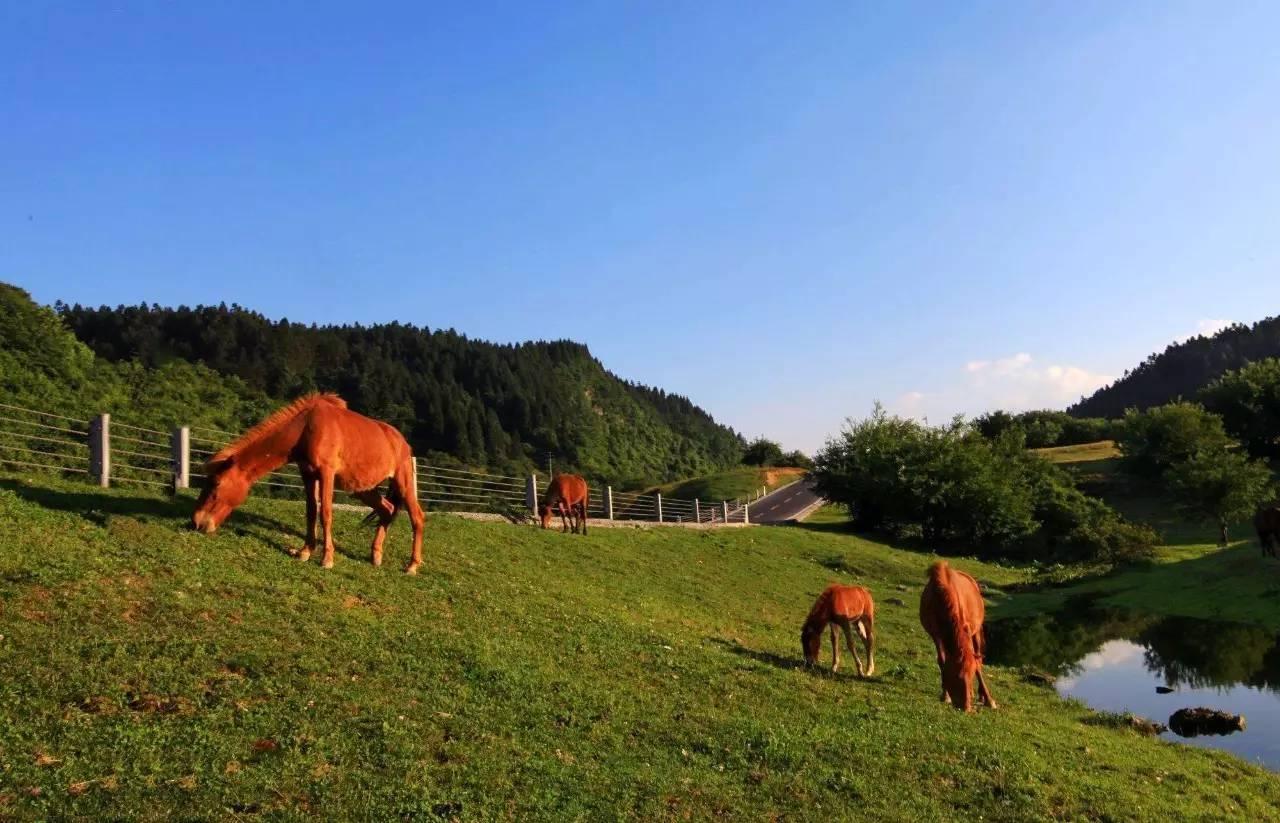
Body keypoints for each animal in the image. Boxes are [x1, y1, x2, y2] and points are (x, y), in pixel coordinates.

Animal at [189, 396, 427, 575]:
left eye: (216, 484)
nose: (197, 522)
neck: (305, 427)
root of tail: (403, 443)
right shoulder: (308, 474)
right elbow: (311, 512)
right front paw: (305, 551)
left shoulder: (326, 473)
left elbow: (326, 513)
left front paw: (327, 558)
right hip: (364, 489)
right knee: (387, 510)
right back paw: (376, 555)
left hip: (403, 481)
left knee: (417, 517)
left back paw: (412, 566)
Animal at [921, 560, 998, 716]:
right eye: (956, 676)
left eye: (971, 675)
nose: (966, 707)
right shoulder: (936, 634)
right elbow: (942, 661)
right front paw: (946, 696)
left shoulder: (967, 629)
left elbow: (977, 664)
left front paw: (989, 700)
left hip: (976, 632)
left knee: (979, 658)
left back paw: (982, 695)